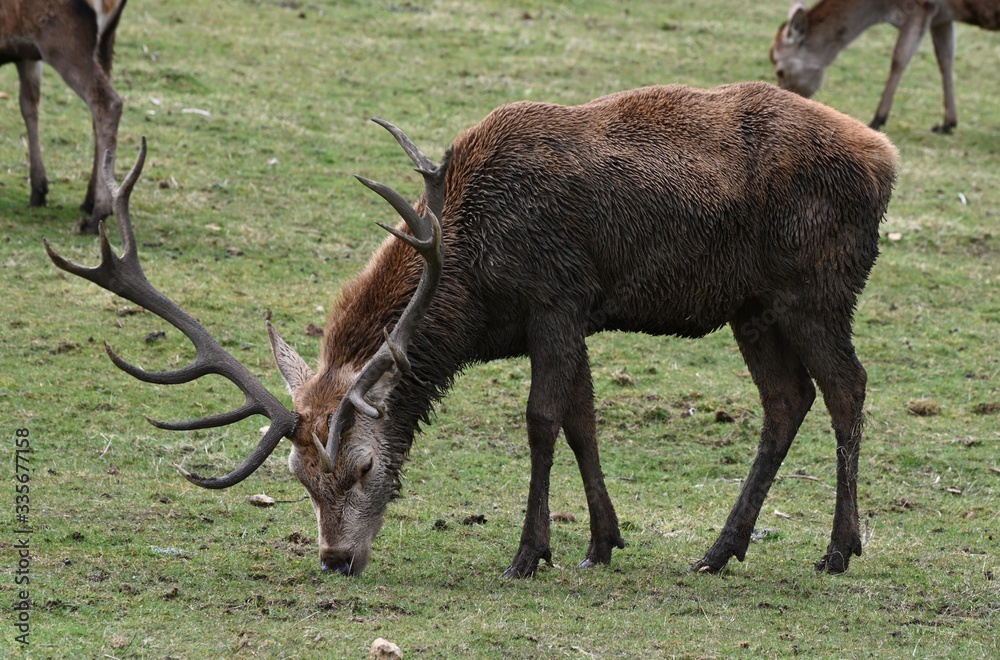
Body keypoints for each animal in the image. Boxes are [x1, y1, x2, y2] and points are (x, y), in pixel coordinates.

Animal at [1, 0, 127, 232]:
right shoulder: (25, 55)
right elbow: (29, 104)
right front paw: (38, 190)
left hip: (65, 40)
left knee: (108, 102)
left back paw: (98, 214)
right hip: (106, 42)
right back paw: (89, 201)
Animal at [46, 81, 898, 579]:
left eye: (360, 467)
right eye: (298, 478)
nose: (335, 558)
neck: (470, 290)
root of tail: (887, 160)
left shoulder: (556, 298)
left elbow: (543, 421)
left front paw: (531, 551)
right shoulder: (573, 317)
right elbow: (585, 421)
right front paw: (602, 542)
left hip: (815, 288)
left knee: (848, 389)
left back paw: (837, 549)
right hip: (752, 307)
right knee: (787, 402)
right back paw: (720, 550)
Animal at [770, 0, 1000, 133]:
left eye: (780, 70)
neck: (883, 8)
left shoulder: (922, 8)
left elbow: (899, 58)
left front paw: (878, 118)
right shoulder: (942, 17)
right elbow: (945, 58)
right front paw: (948, 122)